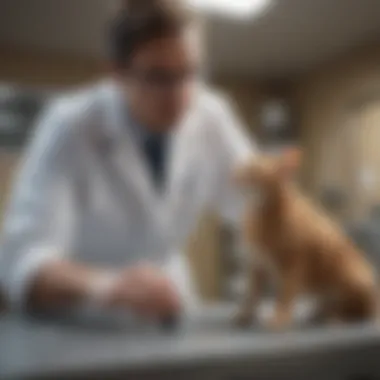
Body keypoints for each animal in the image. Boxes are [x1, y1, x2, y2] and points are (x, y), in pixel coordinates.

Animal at [235, 148, 378, 330]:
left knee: (358, 313)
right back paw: (319, 313)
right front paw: (245, 315)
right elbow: (252, 295)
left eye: (253, 173)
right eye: (244, 168)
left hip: (354, 277)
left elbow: (285, 295)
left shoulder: (293, 264)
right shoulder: (257, 264)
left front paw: (280, 318)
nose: (234, 174)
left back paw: (335, 318)